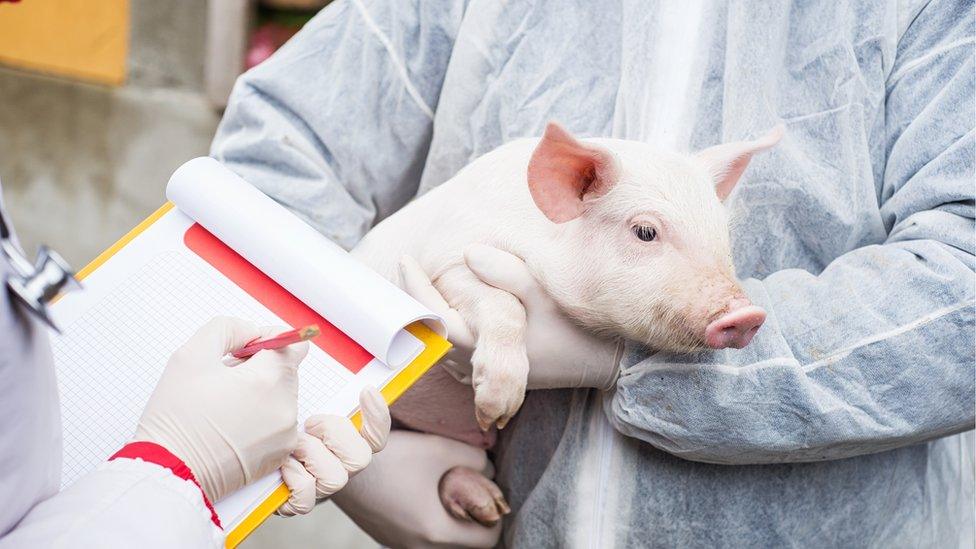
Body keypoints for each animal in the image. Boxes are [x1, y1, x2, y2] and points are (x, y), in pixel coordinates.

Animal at [350, 122, 784, 524]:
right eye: (645, 231)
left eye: (723, 235)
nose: (746, 315)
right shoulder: (446, 263)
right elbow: (505, 305)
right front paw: (497, 410)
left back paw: (487, 508)